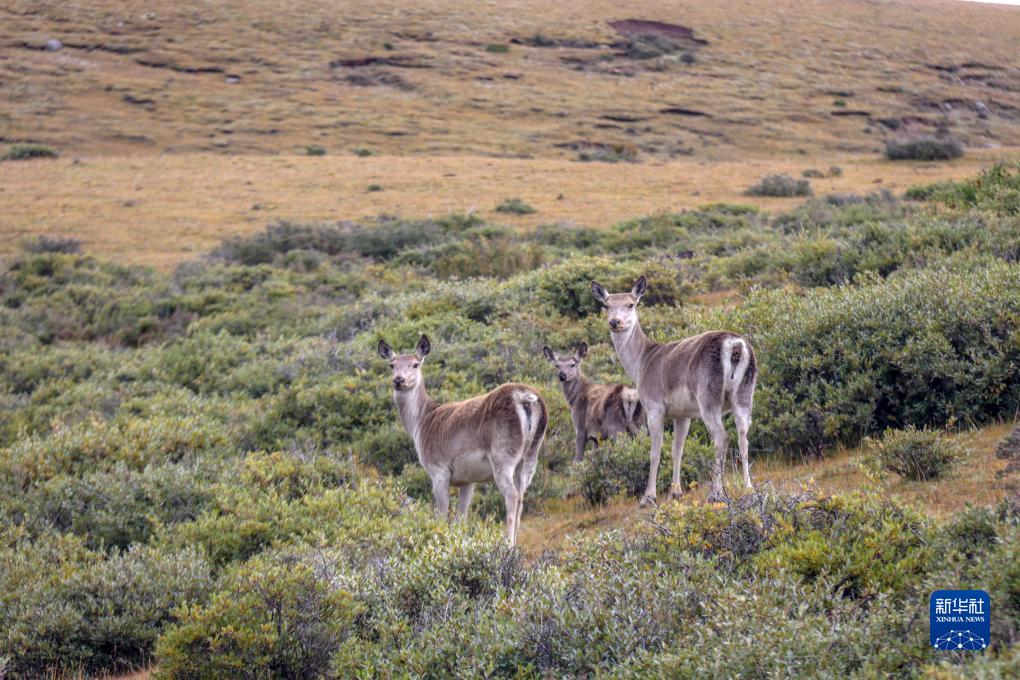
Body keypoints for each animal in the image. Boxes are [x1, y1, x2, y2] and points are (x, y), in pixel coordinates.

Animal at [377, 334, 547, 546]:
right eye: (392, 365)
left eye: (415, 364)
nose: (399, 380)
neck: (421, 424)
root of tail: (527, 399)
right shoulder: (468, 479)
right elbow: (461, 518)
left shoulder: (438, 469)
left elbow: (442, 515)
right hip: (531, 455)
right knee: (522, 496)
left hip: (503, 453)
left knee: (512, 496)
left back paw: (508, 545)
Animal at [590, 276, 757, 505]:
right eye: (607, 305)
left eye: (631, 304)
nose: (615, 322)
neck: (641, 364)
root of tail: (736, 346)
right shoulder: (682, 414)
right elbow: (677, 449)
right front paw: (675, 492)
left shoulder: (654, 406)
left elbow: (655, 451)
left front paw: (648, 497)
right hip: (745, 392)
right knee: (743, 434)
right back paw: (749, 488)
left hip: (708, 394)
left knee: (721, 437)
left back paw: (716, 492)